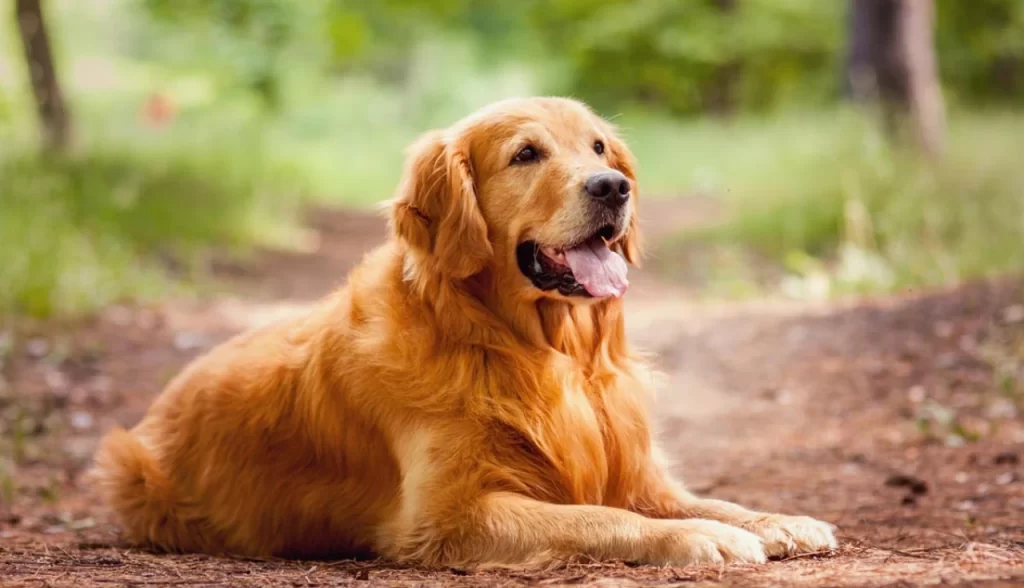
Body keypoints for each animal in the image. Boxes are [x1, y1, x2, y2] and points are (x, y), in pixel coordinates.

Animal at [92, 97, 835, 573]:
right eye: (526, 154)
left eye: (598, 146)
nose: (613, 186)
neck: (537, 349)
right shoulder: (448, 515)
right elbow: (600, 518)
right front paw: (700, 538)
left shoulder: (635, 468)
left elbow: (710, 499)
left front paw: (778, 520)